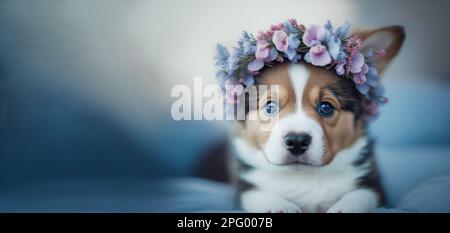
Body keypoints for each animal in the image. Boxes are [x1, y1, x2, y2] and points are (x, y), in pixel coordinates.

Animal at [230, 26, 406, 212]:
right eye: (270, 107)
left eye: (326, 107)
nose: (297, 141)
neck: (305, 178)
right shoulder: (245, 188)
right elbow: (258, 196)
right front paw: (282, 207)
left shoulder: (375, 189)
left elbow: (360, 196)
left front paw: (343, 208)